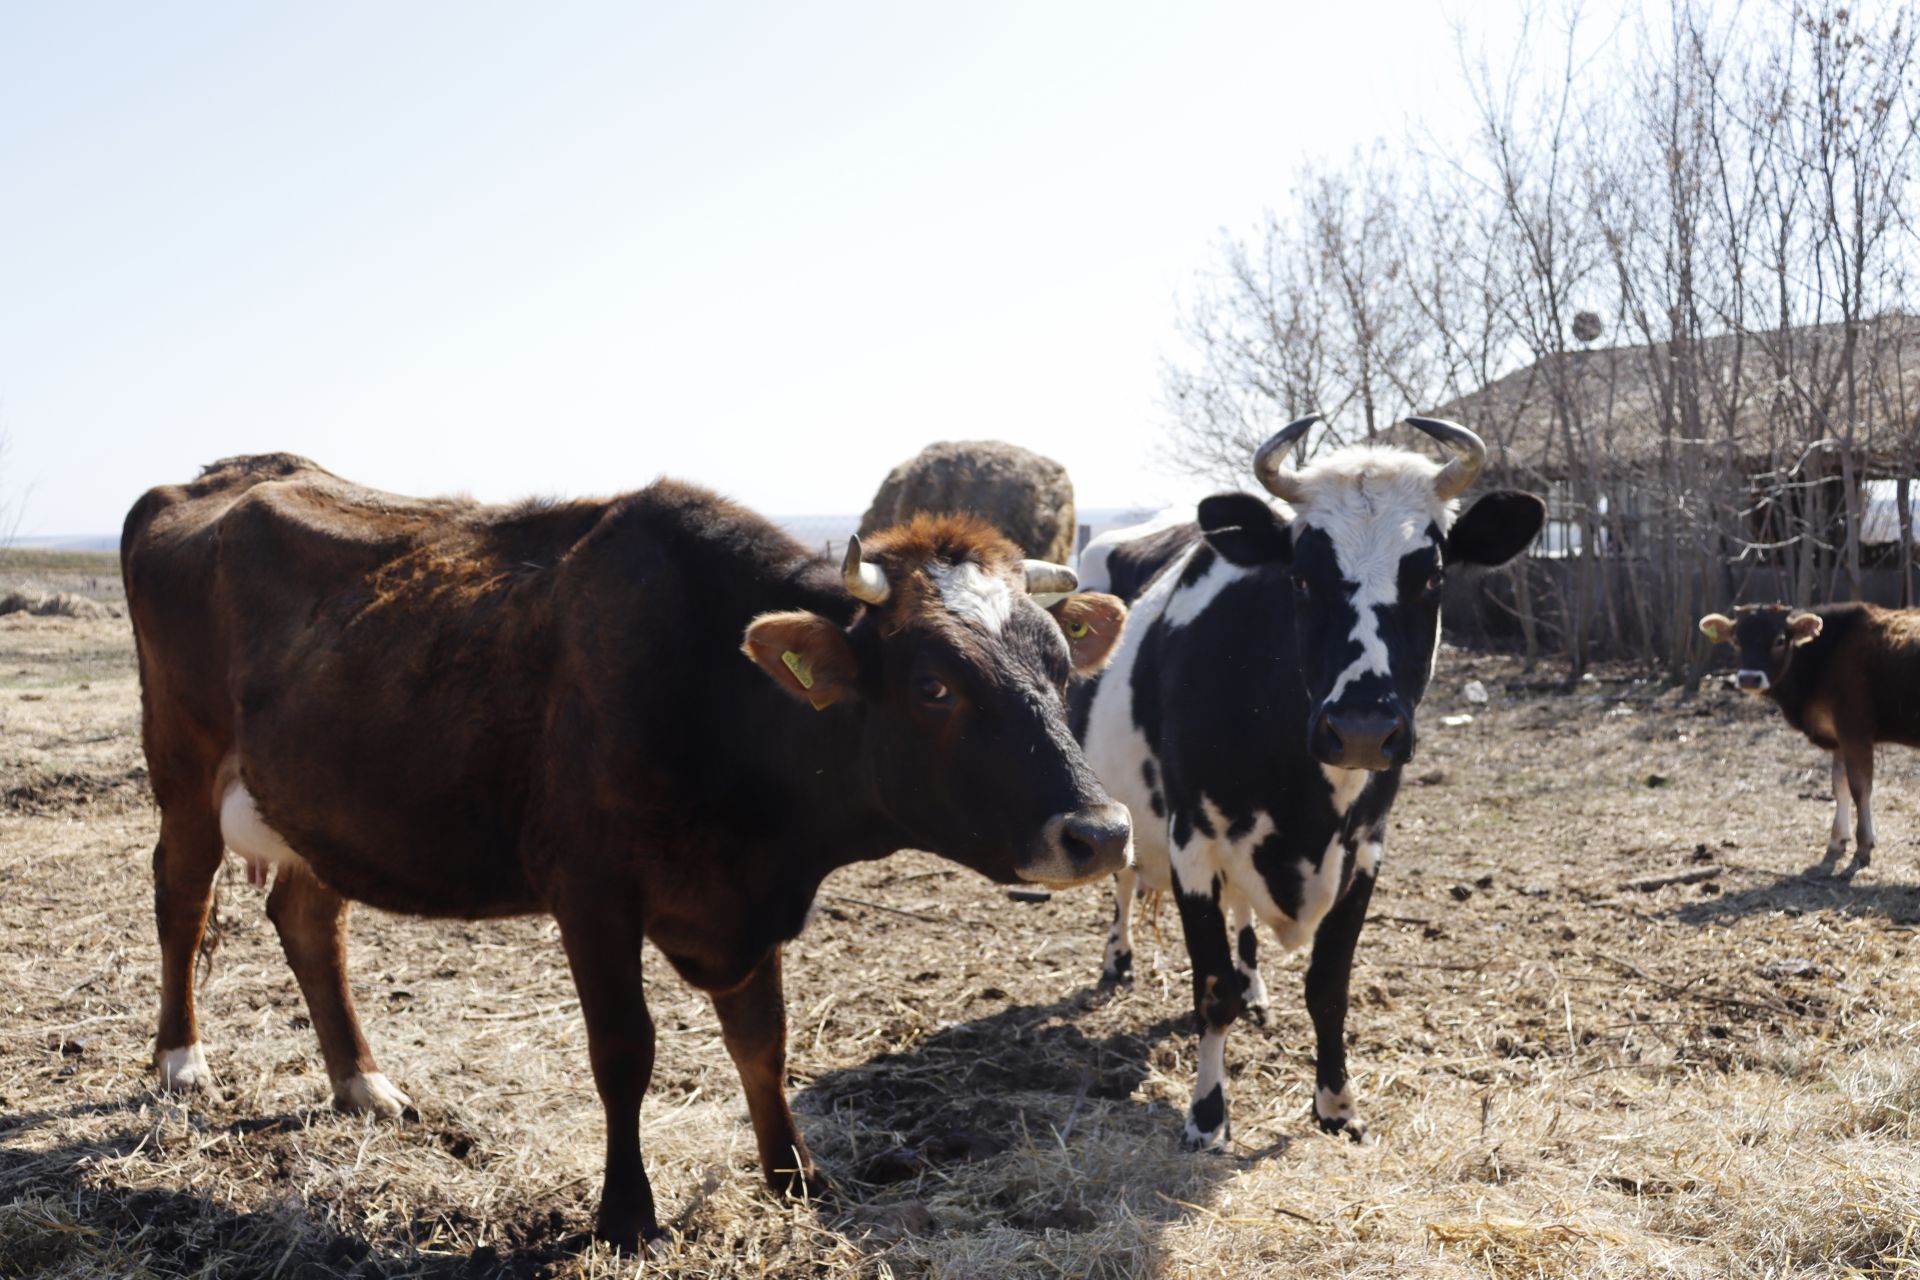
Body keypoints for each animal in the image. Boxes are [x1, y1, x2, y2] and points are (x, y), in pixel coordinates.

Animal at [120, 454, 1128, 1258]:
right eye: (933, 685)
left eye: (1060, 668)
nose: (1103, 830)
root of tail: (228, 474)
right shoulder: (593, 890)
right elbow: (624, 1050)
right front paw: (627, 1215)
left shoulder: (744, 899)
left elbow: (763, 1041)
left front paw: (793, 1175)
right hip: (184, 766)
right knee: (181, 900)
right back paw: (181, 1064)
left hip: (315, 805)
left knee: (307, 920)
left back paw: (362, 1083)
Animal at [1697, 602, 1920, 882]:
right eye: (1736, 640)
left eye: (1780, 639)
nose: (1749, 678)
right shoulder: (1839, 739)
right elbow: (1839, 785)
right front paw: (1837, 840)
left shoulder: (1855, 731)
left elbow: (1860, 788)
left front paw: (1863, 847)